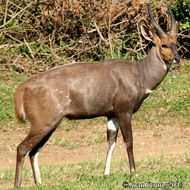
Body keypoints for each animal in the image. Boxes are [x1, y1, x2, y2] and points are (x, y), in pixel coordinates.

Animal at [14, 3, 180, 188]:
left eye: (176, 42)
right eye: (164, 45)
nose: (177, 58)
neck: (140, 74)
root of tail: (23, 89)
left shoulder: (111, 114)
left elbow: (111, 141)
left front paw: (106, 173)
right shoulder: (124, 110)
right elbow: (128, 141)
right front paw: (134, 172)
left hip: (51, 123)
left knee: (34, 150)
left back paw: (39, 183)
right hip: (44, 122)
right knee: (22, 148)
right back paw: (17, 184)